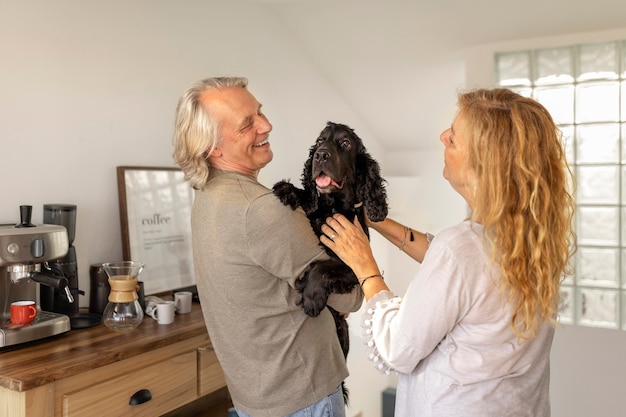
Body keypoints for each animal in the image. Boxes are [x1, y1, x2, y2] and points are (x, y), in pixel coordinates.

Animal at [272, 122, 386, 402]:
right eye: (319, 141)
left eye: (345, 143)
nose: (320, 155)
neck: (332, 207)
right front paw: (288, 190)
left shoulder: (354, 267)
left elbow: (322, 267)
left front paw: (312, 298)